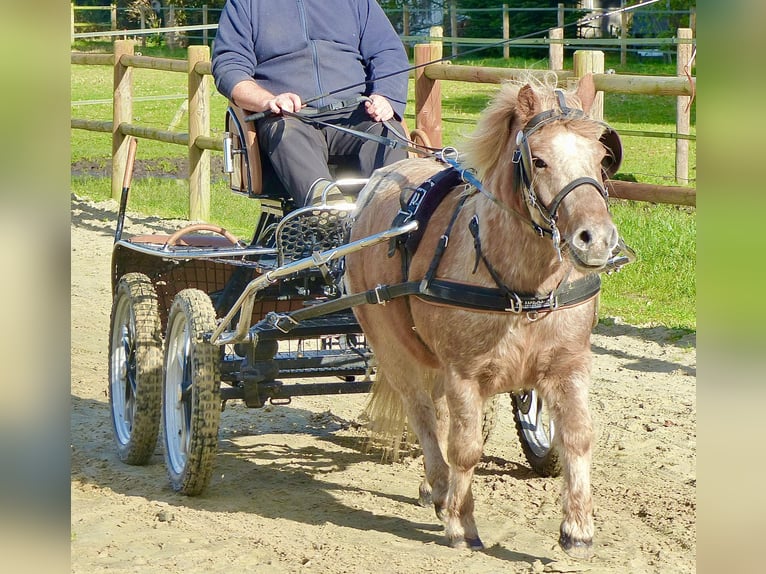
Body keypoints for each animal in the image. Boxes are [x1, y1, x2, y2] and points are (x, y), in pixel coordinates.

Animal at [344, 73, 628, 564]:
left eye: (601, 158)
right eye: (539, 159)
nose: (596, 239)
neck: (523, 290)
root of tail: (372, 189)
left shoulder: (568, 365)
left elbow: (576, 436)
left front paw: (578, 530)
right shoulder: (464, 373)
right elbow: (466, 448)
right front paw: (462, 524)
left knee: (436, 415)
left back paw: (433, 487)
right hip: (390, 343)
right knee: (422, 413)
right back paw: (442, 489)